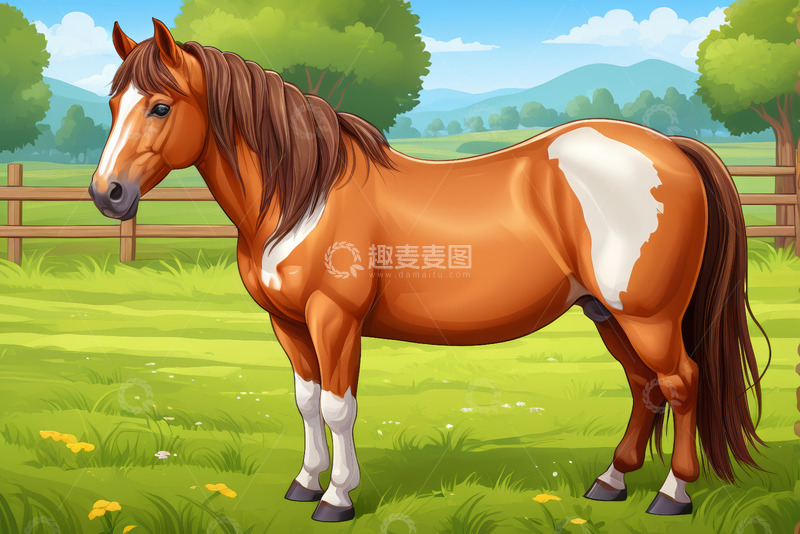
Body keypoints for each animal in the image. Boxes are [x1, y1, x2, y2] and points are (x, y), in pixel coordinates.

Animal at [88, 18, 767, 522]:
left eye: (159, 106)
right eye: (114, 101)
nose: (108, 194)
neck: (301, 197)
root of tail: (671, 147)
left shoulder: (334, 319)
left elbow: (337, 406)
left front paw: (337, 497)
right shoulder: (288, 323)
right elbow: (306, 401)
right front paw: (305, 482)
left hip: (647, 314)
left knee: (681, 383)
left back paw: (671, 495)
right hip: (607, 313)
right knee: (643, 386)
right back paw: (611, 481)